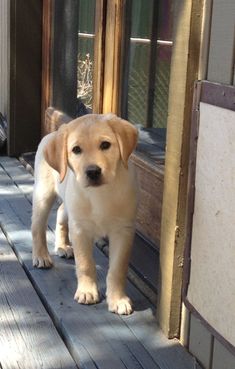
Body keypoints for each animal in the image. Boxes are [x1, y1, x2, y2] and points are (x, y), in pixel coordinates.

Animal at [31, 113, 138, 314]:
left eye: (105, 145)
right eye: (76, 150)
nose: (93, 171)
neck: (99, 194)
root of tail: (53, 133)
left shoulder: (123, 230)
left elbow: (118, 268)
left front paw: (118, 299)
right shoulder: (80, 229)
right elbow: (85, 263)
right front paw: (87, 291)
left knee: (61, 212)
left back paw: (62, 246)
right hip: (43, 194)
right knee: (37, 227)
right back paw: (41, 256)